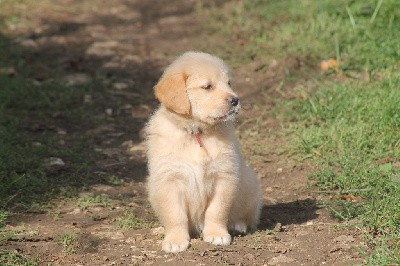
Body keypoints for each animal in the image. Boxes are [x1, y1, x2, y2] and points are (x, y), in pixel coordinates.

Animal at [145, 51, 260, 252]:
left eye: (229, 83)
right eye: (207, 87)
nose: (235, 100)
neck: (196, 132)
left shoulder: (224, 176)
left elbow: (217, 210)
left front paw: (217, 234)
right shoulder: (169, 180)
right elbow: (175, 215)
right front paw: (175, 240)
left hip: (249, 183)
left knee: (249, 215)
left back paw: (238, 224)